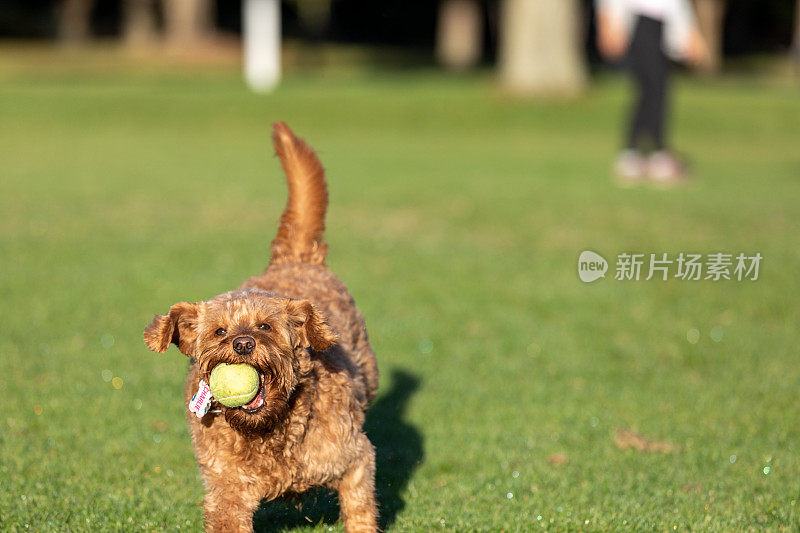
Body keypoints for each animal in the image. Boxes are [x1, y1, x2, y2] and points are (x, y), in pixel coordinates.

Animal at [143, 121, 378, 532]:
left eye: (266, 327)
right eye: (219, 332)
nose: (242, 343)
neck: (268, 430)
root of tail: (295, 258)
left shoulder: (354, 458)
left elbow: (361, 511)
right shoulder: (227, 490)